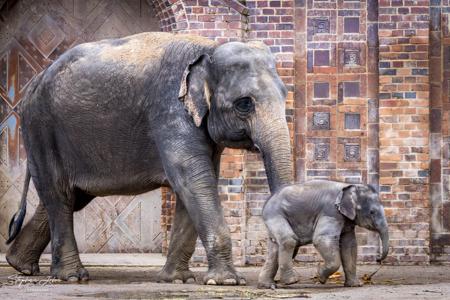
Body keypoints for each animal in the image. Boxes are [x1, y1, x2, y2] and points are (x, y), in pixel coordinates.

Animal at [5, 31, 294, 284]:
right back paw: (72, 276)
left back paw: (21, 265)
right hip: (40, 128)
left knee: (69, 197)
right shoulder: (169, 109)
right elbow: (194, 180)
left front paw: (177, 280)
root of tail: (33, 83)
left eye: (284, 95)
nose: (279, 282)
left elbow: (196, 184)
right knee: (59, 194)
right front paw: (225, 281)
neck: (209, 49)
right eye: (244, 103)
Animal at [258, 180, 388, 288]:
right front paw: (320, 277)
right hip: (275, 214)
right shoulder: (331, 211)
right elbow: (321, 239)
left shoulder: (346, 220)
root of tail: (267, 201)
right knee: (288, 240)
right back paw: (292, 281)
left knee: (275, 249)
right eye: (372, 212)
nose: (378, 259)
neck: (348, 185)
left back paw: (267, 285)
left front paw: (355, 285)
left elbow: (350, 246)